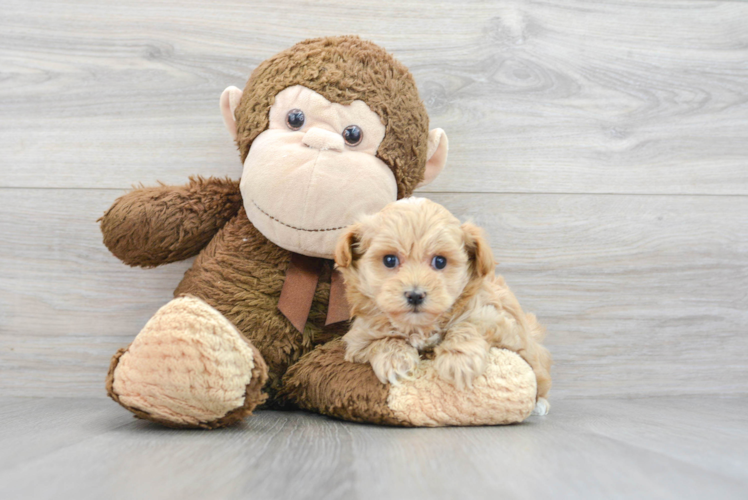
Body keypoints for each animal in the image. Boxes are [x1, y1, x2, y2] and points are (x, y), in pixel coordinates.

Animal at [336, 197, 552, 408]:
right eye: (389, 260)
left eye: (440, 262)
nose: (415, 295)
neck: (420, 328)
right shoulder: (359, 336)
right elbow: (381, 340)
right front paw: (396, 360)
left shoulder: (497, 320)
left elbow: (468, 325)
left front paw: (459, 360)